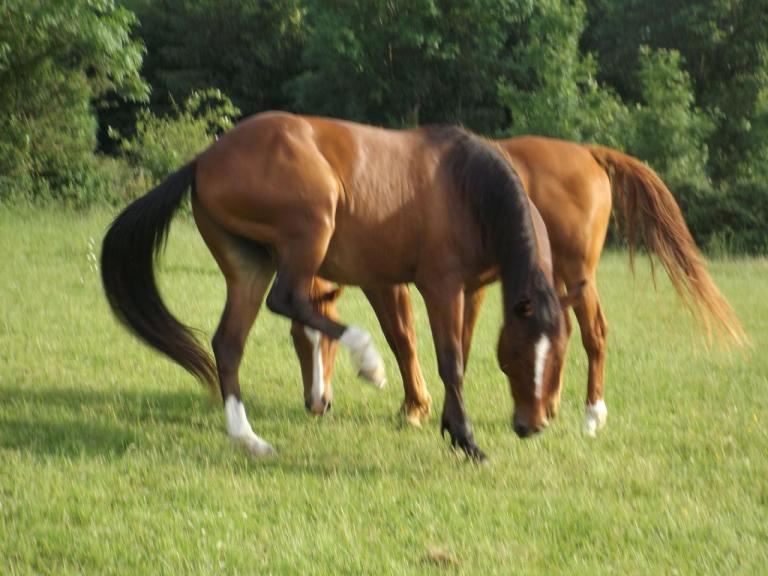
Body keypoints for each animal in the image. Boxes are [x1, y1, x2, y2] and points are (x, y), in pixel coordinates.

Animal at [100, 113, 576, 464]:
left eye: (558, 356)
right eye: (515, 355)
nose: (531, 424)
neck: (466, 186)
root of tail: (203, 159)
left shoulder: (472, 290)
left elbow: (460, 349)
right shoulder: (441, 287)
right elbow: (450, 361)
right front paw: (464, 438)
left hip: (250, 266)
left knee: (229, 343)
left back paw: (248, 438)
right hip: (311, 226)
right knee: (286, 300)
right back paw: (367, 360)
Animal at [292, 135, 748, 432]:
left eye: (328, 341)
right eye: (297, 340)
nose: (316, 404)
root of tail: (587, 153)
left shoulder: (391, 283)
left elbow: (402, 338)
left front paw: (415, 406)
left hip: (577, 274)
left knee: (594, 333)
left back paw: (592, 412)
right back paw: (552, 402)